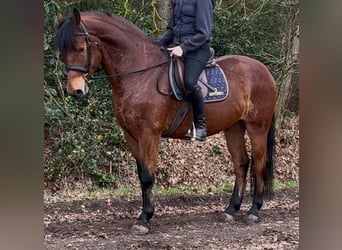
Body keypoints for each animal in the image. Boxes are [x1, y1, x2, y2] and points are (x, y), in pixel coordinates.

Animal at [54, 8, 278, 234]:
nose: (75, 90)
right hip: (233, 127)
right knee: (241, 163)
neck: (140, 72)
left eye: (81, 48)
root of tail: (264, 70)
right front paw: (144, 215)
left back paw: (254, 211)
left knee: (259, 164)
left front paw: (144, 219)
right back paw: (231, 210)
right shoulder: (131, 135)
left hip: (257, 127)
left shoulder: (149, 134)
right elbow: (141, 174)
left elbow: (147, 175)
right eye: (62, 52)